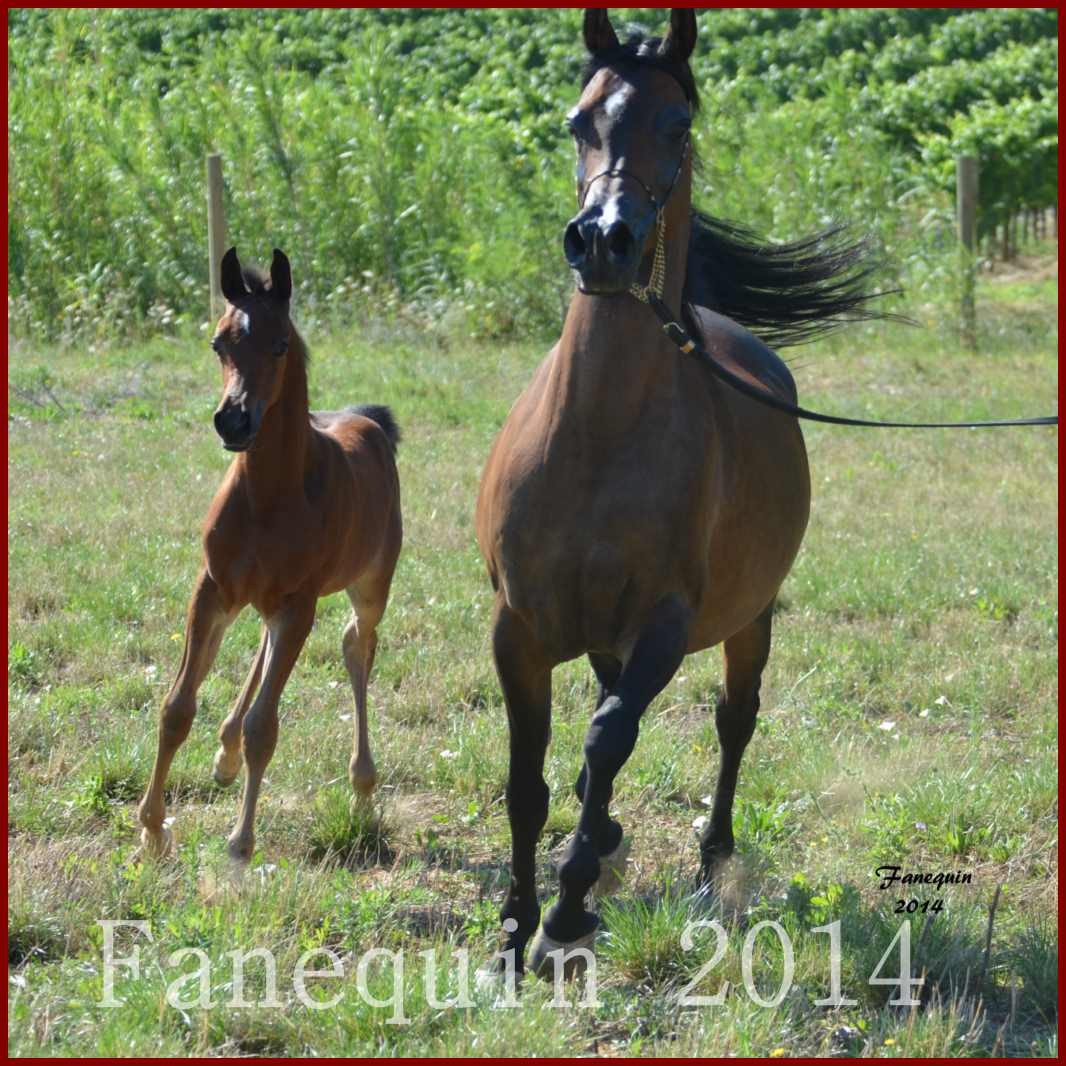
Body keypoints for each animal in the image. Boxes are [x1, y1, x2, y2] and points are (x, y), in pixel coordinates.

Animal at [138, 245, 402, 861]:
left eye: (280, 344)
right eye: (219, 343)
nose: (233, 419)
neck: (268, 495)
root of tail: (370, 421)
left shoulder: (300, 604)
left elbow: (266, 726)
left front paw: (240, 841)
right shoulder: (211, 589)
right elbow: (176, 707)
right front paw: (153, 828)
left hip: (370, 584)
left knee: (358, 645)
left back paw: (362, 785)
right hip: (258, 598)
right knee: (263, 642)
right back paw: (225, 751)